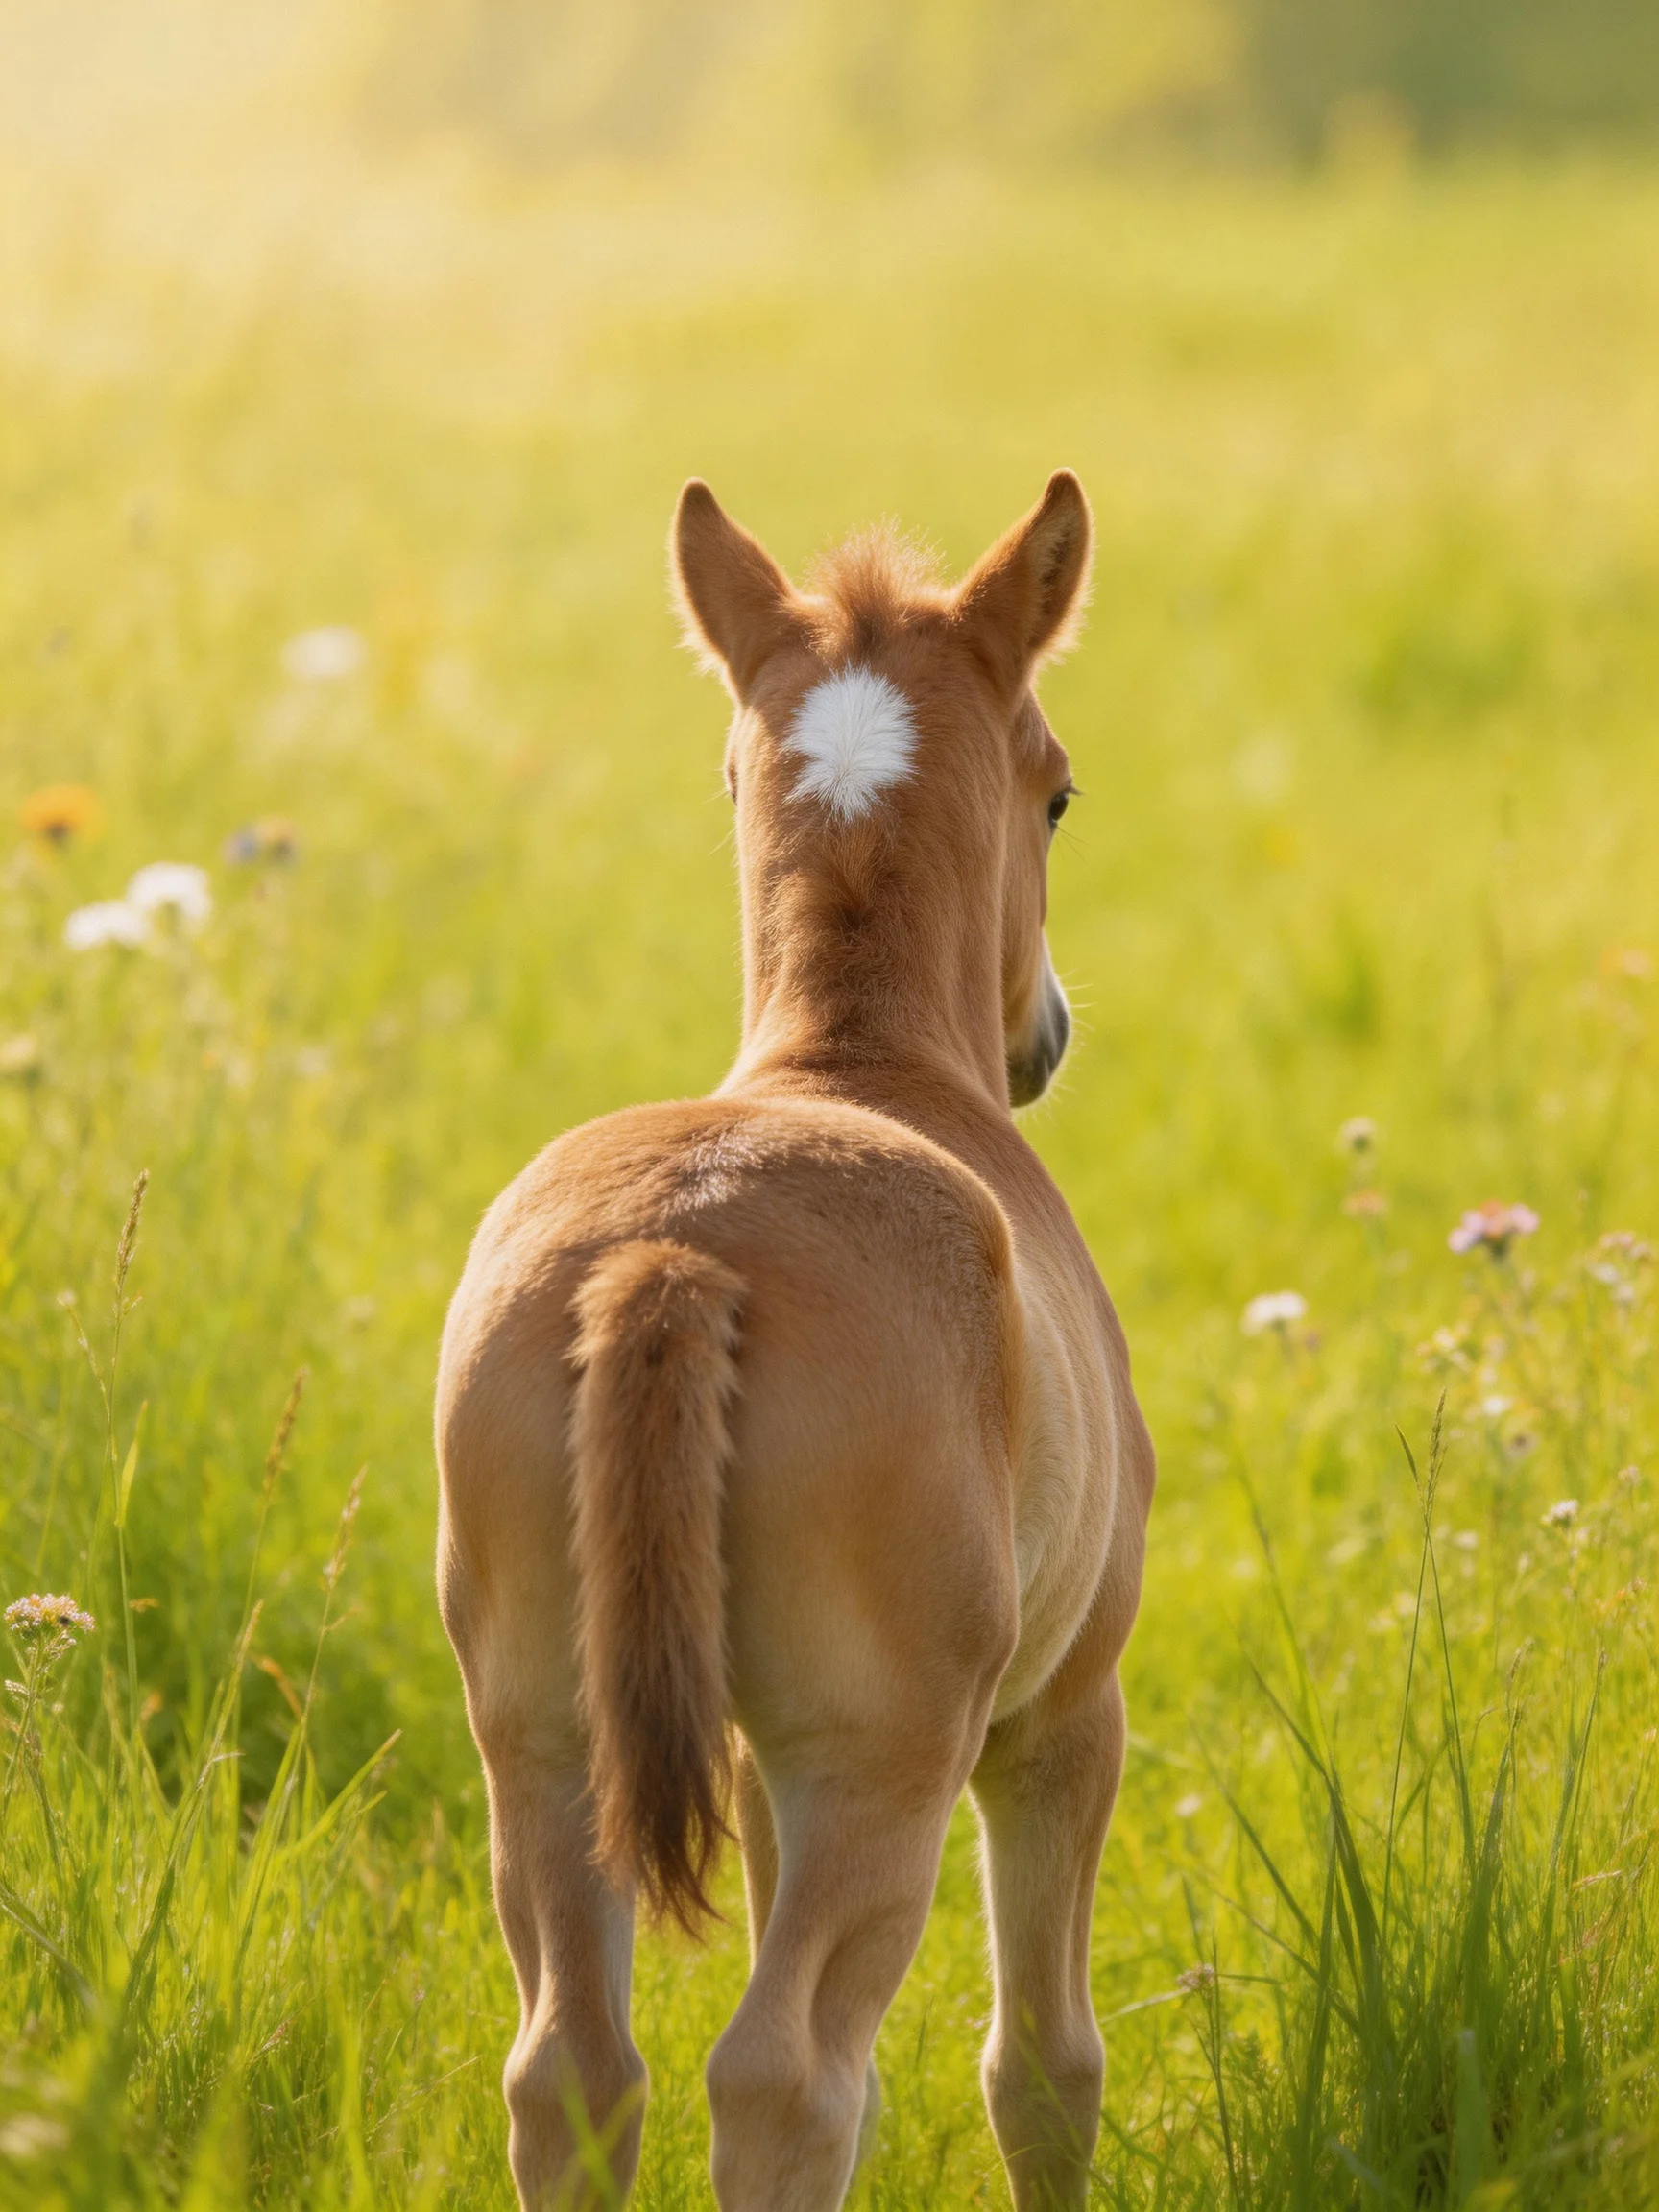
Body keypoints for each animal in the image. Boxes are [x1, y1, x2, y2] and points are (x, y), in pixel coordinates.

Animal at [435, 470, 1156, 2211]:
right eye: (1058, 793)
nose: (1042, 1038)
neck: (857, 1060)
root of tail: (676, 1254)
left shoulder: (750, 1756)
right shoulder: (1061, 1717)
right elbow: (1044, 2067)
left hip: (542, 1738)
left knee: (572, 2069)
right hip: (883, 1765)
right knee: (786, 2074)